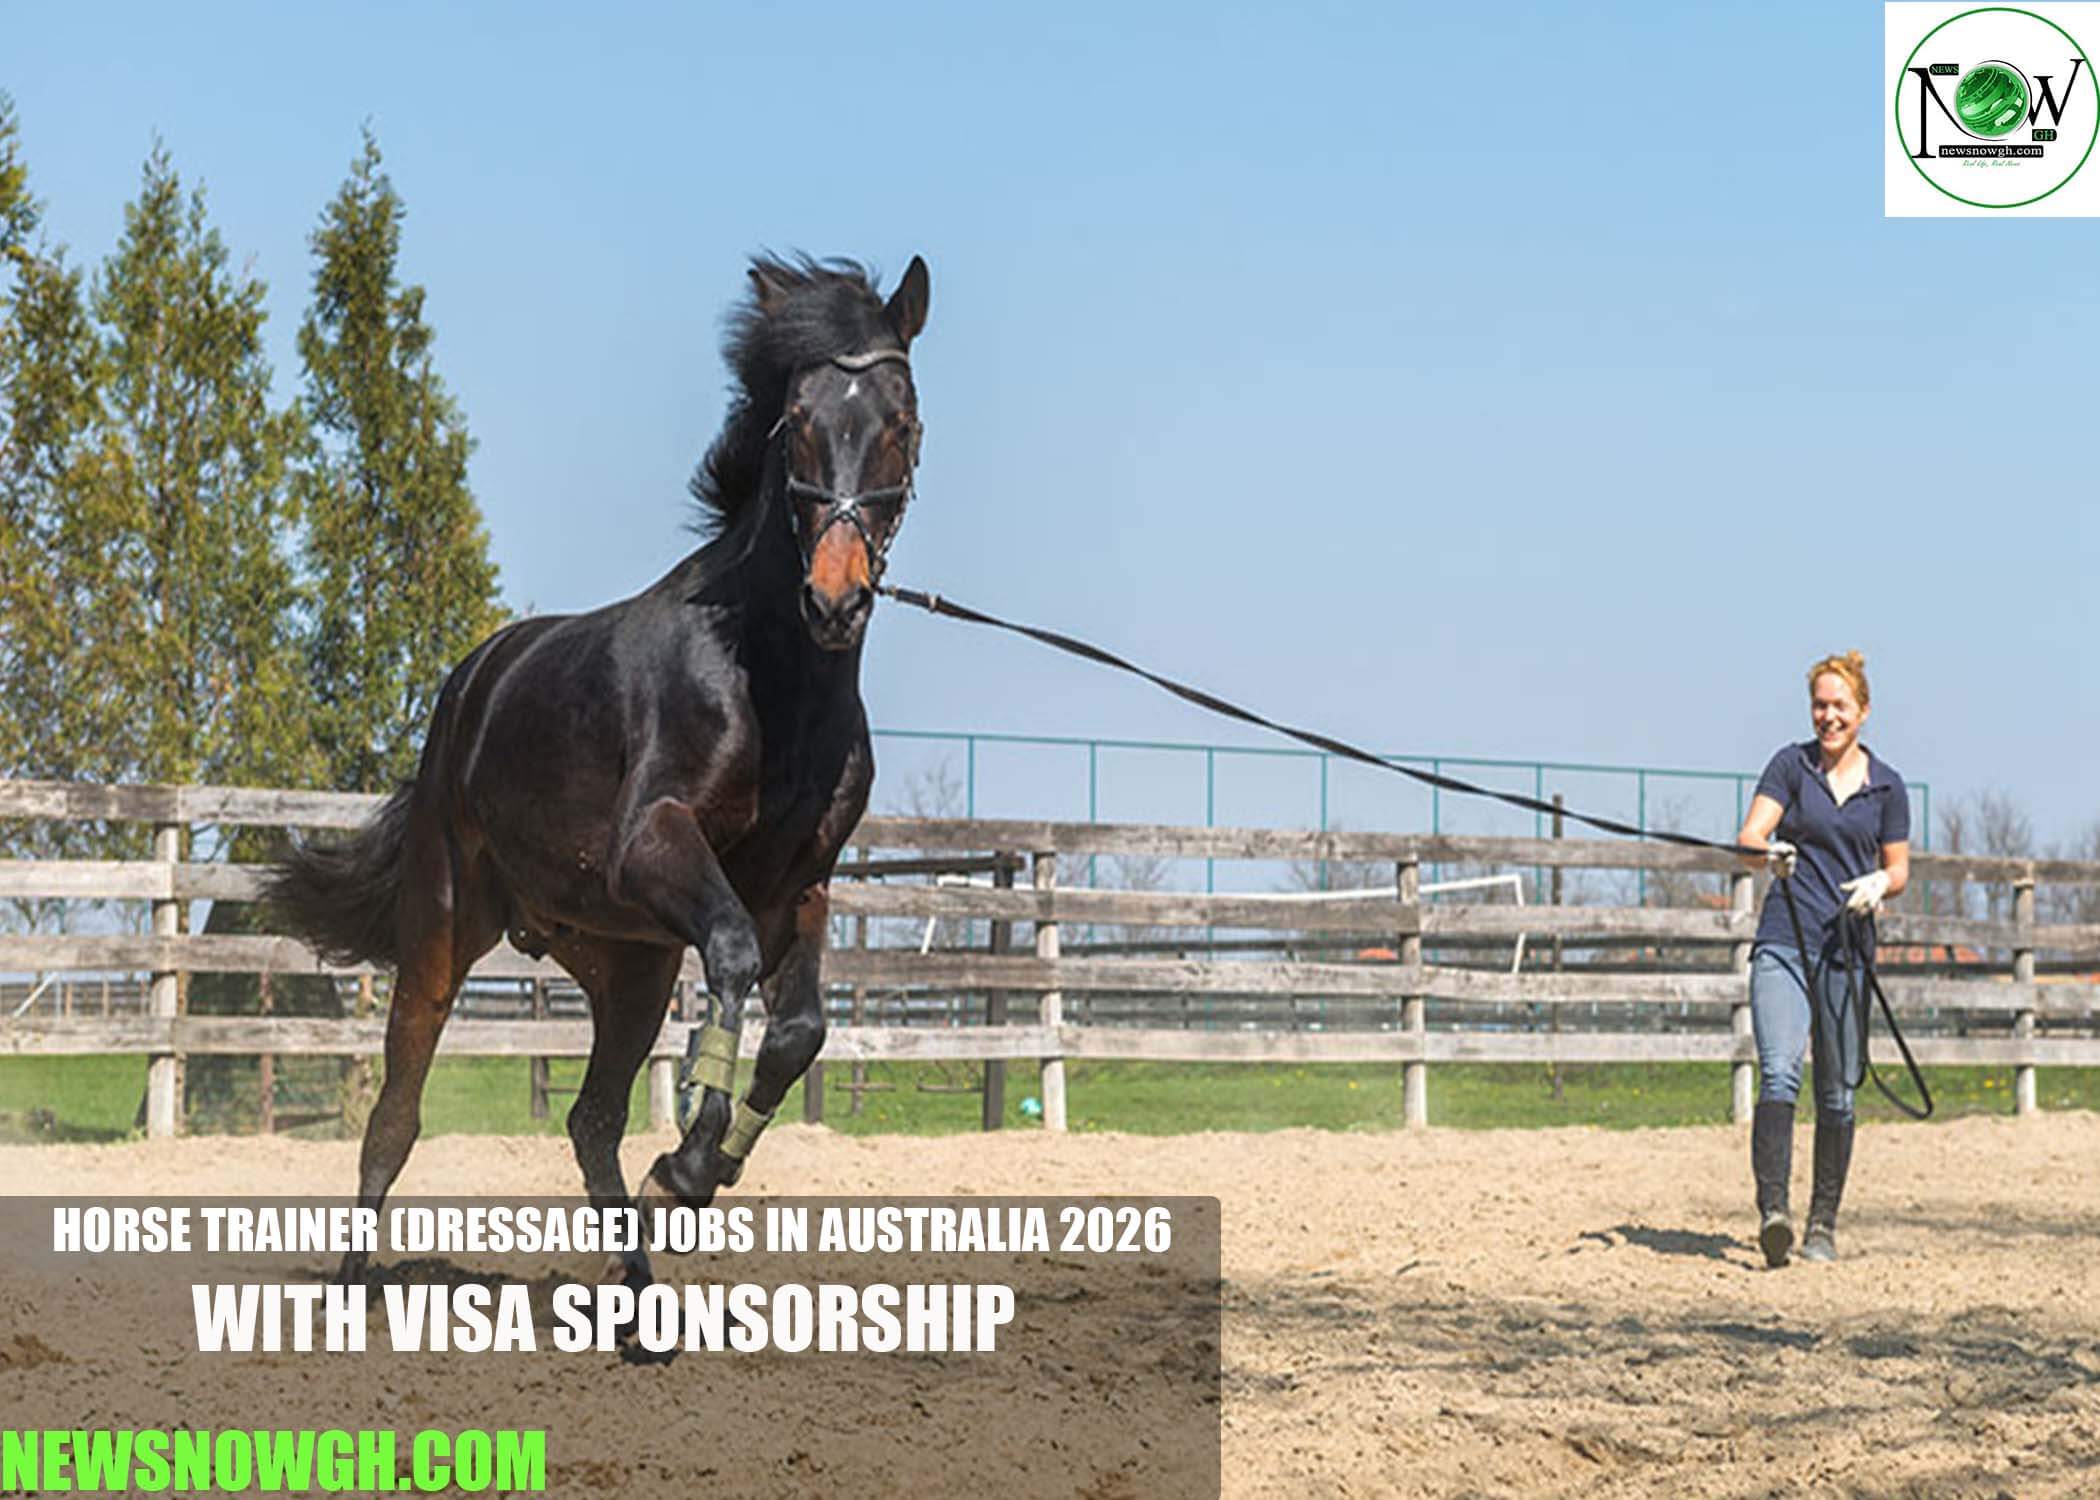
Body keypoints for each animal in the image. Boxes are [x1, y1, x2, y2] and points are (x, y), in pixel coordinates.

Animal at [266, 253, 930, 1299]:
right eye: (799, 419)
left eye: (902, 420)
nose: (836, 599)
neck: (771, 679)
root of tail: (472, 684)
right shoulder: (655, 847)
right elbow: (733, 959)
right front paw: (688, 1161)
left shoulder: (804, 887)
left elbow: (801, 1031)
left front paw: (702, 1173)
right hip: (448, 930)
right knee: (397, 1113)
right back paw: (354, 1279)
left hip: (627, 961)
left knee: (590, 1119)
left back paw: (635, 1293)